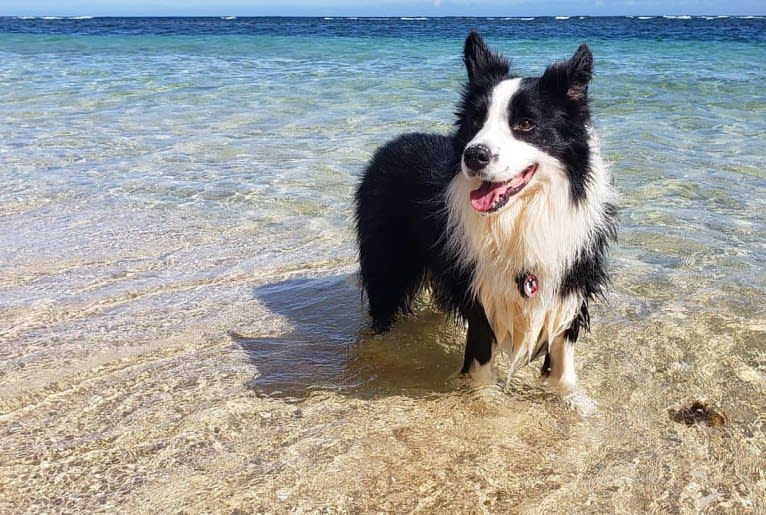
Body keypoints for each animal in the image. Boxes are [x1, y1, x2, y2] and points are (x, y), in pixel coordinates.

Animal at [356, 33, 616, 404]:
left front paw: (574, 402)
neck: (520, 216)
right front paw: (488, 404)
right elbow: (481, 367)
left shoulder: (568, 286)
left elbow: (564, 367)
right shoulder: (480, 293)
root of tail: (391, 144)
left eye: (525, 124)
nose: (474, 155)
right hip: (386, 264)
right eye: (476, 122)